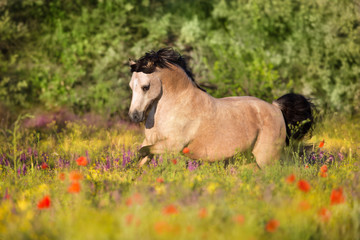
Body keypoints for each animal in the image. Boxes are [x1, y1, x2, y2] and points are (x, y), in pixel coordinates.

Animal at [128, 47, 314, 168]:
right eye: (131, 86)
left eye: (145, 87)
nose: (134, 116)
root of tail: (276, 108)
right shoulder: (151, 141)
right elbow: (140, 156)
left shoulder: (173, 145)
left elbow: (143, 152)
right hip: (249, 159)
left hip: (267, 159)